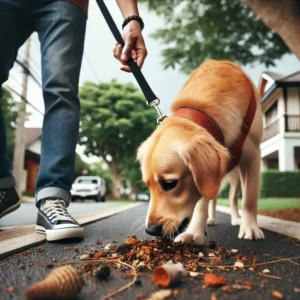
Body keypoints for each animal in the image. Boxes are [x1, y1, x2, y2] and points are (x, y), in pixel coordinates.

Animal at [137, 59, 264, 245]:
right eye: (148, 185)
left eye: (169, 183)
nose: (151, 230)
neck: (204, 112)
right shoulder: (203, 177)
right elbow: (201, 202)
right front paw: (195, 231)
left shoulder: (253, 155)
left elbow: (249, 199)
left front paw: (250, 228)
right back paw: (210, 219)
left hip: (235, 176)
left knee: (233, 197)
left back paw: (236, 219)